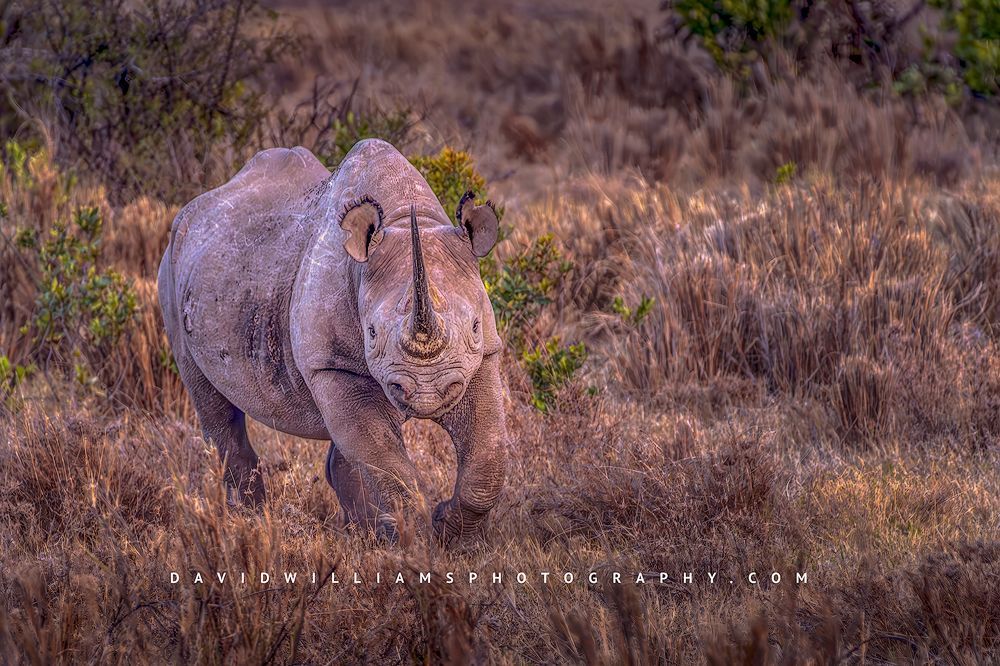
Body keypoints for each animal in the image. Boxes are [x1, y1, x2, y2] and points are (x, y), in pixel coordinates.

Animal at [157, 139, 507, 544]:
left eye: (476, 327)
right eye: (371, 333)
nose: (426, 395)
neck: (406, 217)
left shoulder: (480, 360)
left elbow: (488, 458)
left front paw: (444, 528)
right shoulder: (331, 365)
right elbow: (386, 463)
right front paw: (417, 538)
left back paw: (362, 532)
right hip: (172, 273)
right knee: (213, 406)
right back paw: (253, 524)